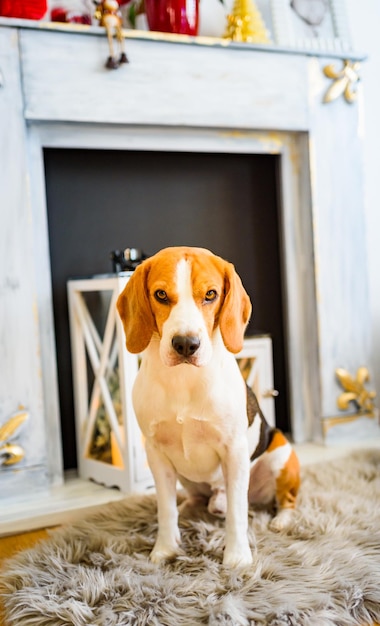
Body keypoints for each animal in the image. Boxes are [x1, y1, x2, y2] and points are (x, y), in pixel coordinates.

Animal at [117, 247, 302, 564]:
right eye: (161, 294)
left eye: (211, 294)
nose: (185, 344)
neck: (183, 379)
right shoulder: (155, 453)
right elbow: (165, 509)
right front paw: (165, 549)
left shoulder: (235, 451)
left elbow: (237, 514)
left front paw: (237, 557)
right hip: (186, 478)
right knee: (193, 501)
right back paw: (190, 509)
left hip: (281, 454)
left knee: (284, 500)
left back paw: (281, 521)